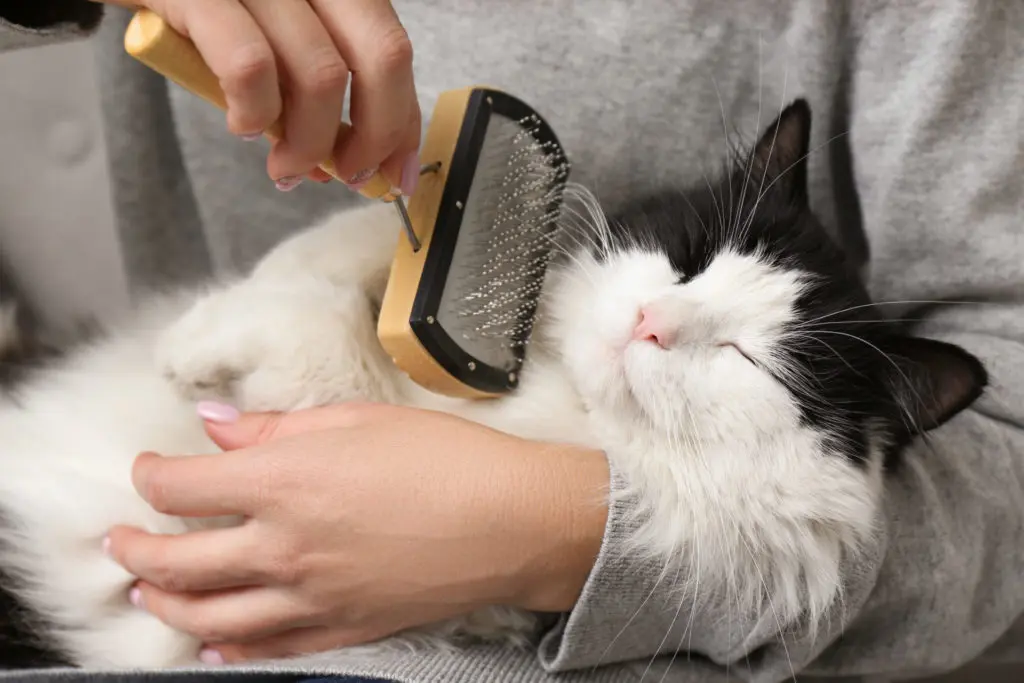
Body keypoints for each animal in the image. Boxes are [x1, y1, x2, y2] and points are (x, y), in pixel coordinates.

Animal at [0, 100, 991, 667]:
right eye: (690, 256)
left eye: (751, 358)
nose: (652, 322)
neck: (551, 382)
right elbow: (362, 230)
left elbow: (327, 350)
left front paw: (194, 346)